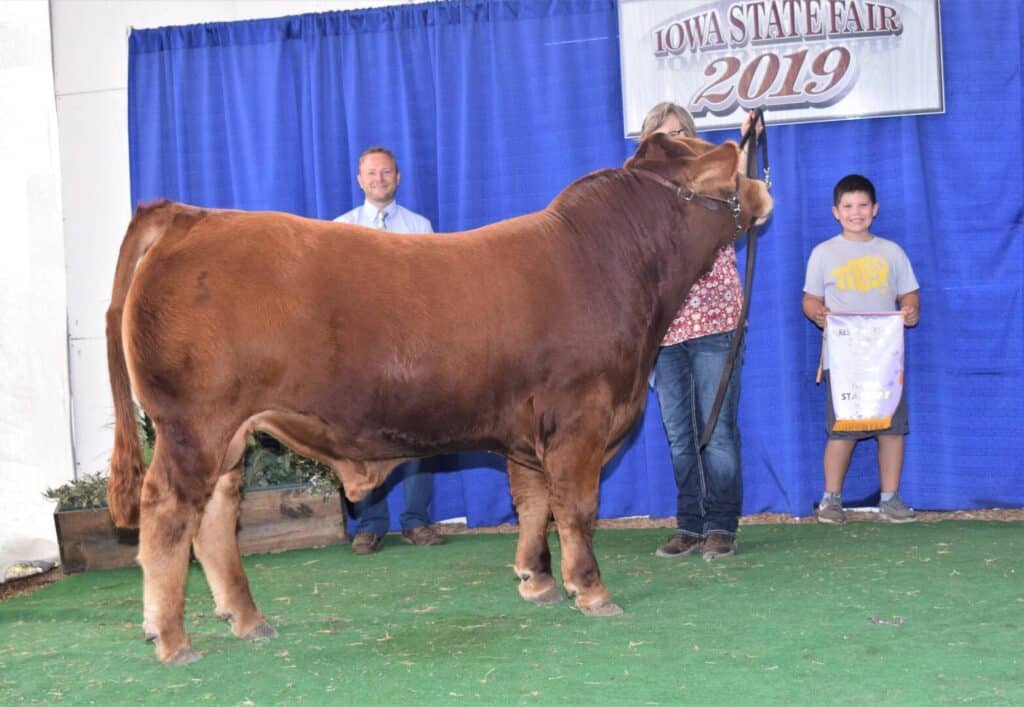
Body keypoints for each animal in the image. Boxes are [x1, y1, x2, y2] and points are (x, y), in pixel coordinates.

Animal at [106, 133, 772, 664]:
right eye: (731, 169)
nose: (765, 189)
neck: (612, 267)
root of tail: (192, 216)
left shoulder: (529, 432)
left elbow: (532, 503)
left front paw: (536, 580)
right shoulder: (580, 419)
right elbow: (576, 508)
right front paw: (591, 590)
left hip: (230, 433)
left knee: (217, 514)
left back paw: (246, 619)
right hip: (193, 424)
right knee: (170, 512)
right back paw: (171, 637)